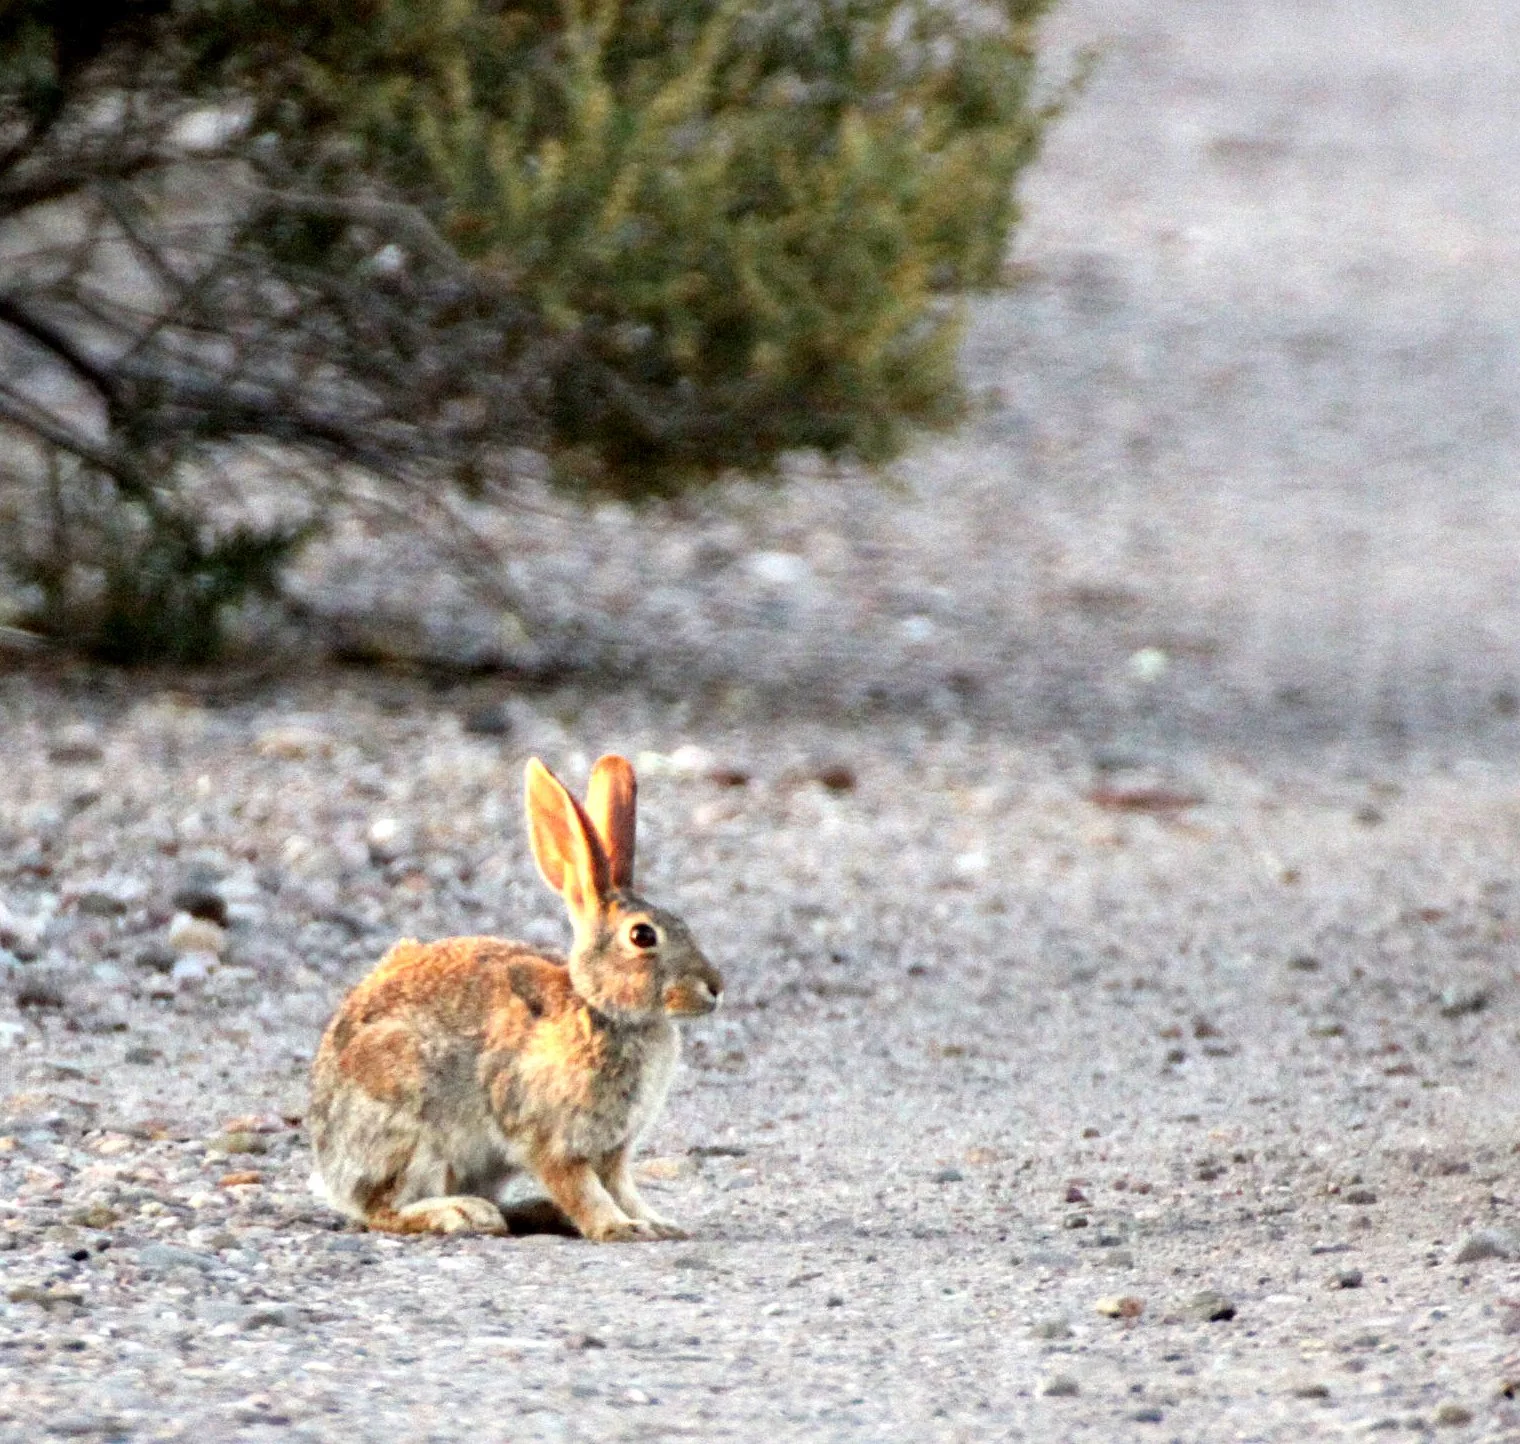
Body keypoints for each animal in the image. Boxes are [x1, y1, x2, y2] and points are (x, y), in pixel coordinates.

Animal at [307, 753, 723, 1241]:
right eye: (642, 936)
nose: (715, 987)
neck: (600, 1008)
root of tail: (329, 1161)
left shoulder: (614, 1150)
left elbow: (622, 1187)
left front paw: (657, 1224)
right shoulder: (549, 1138)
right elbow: (585, 1190)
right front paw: (618, 1229)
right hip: (409, 1124)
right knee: (382, 1207)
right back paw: (462, 1214)